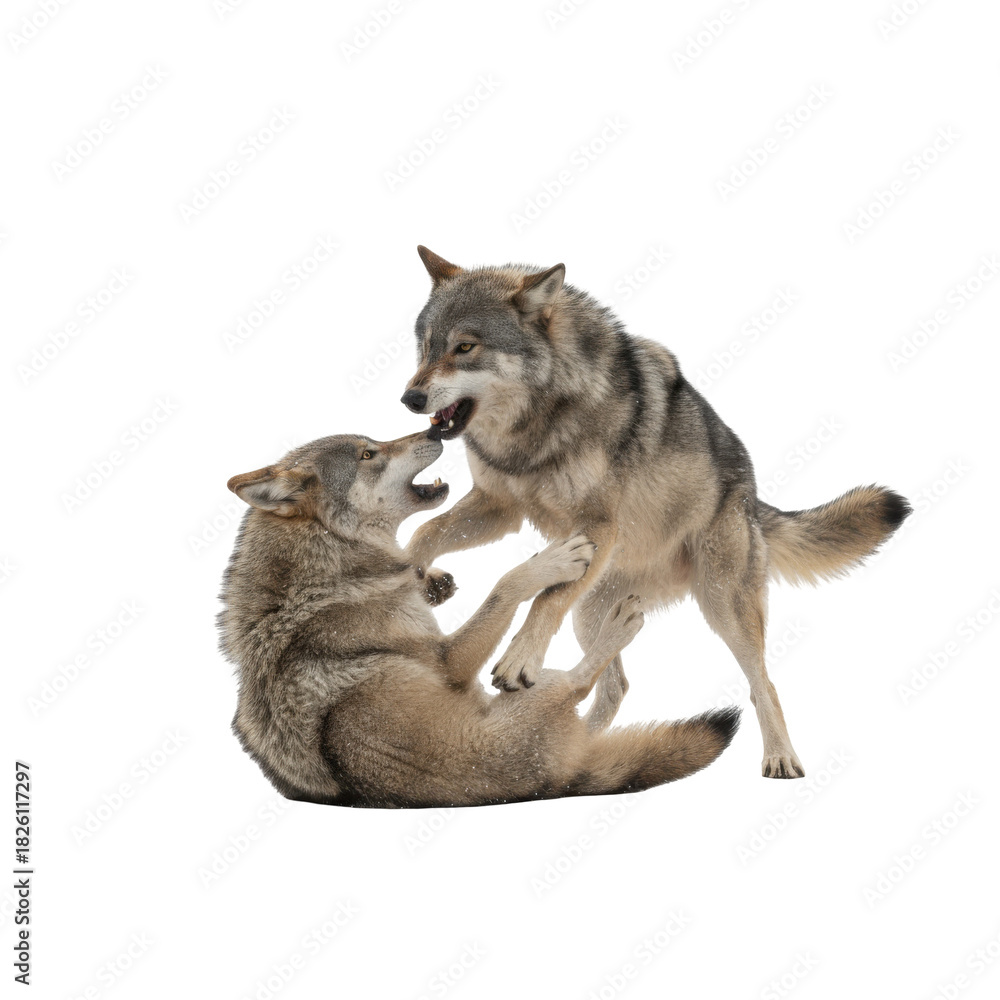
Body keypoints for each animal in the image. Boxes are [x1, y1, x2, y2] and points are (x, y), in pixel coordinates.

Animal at [217, 430, 739, 807]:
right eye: (368, 454)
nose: (435, 431)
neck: (325, 564)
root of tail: (563, 781)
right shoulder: (449, 663)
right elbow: (506, 584)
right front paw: (554, 559)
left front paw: (433, 581)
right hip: (533, 688)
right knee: (583, 682)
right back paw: (622, 623)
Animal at [400, 247, 911, 779]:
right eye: (425, 346)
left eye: (464, 347)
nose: (410, 398)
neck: (538, 423)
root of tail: (753, 496)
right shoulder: (499, 507)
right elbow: (426, 533)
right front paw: (419, 580)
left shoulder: (599, 525)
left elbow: (544, 599)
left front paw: (520, 658)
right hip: (591, 609)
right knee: (615, 685)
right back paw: (581, 754)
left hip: (721, 603)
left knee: (762, 683)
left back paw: (779, 756)